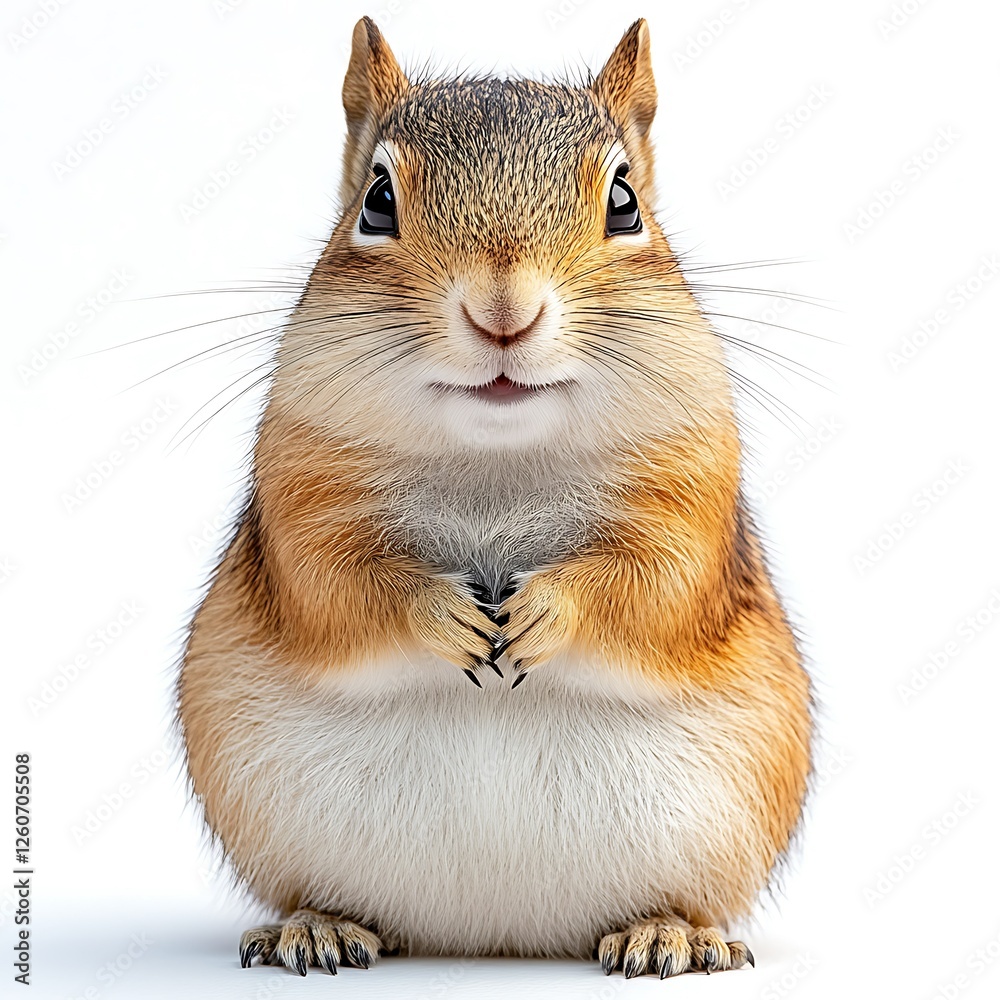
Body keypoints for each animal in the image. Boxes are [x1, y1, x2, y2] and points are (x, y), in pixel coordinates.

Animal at [177, 16, 812, 980]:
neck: (497, 459)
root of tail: (492, 934)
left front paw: (547, 610)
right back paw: (316, 925)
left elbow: (653, 589)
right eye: (376, 202)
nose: (502, 312)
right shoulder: (299, 507)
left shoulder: (692, 507)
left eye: (625, 202)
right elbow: (338, 590)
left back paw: (671, 932)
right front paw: (442, 615)